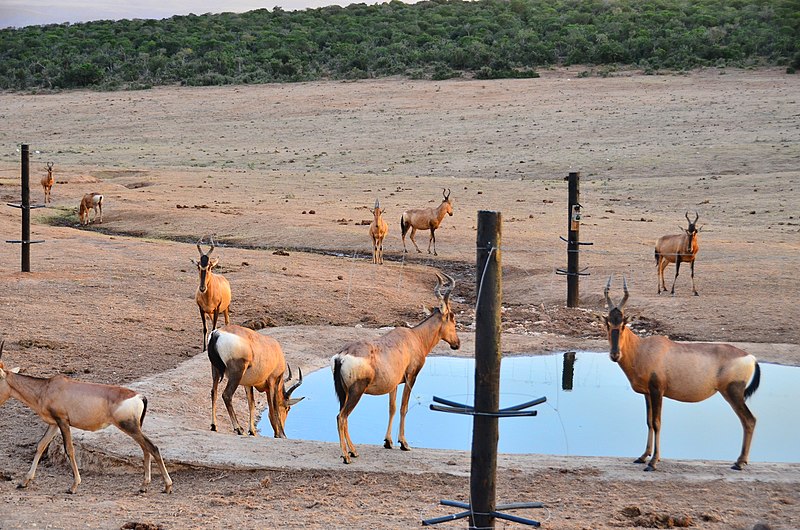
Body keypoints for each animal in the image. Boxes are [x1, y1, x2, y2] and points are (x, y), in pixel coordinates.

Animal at [0, 340, 174, 492]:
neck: (47, 388)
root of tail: (140, 396)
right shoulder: (54, 423)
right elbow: (41, 446)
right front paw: (24, 482)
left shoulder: (63, 422)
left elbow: (69, 449)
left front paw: (73, 486)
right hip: (135, 428)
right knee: (145, 448)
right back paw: (144, 486)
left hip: (129, 426)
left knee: (153, 447)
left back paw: (167, 486)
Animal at [332, 272, 460, 462]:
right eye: (452, 317)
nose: (457, 344)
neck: (414, 337)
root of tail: (341, 356)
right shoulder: (411, 377)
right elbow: (403, 407)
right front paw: (404, 443)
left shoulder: (393, 383)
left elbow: (391, 408)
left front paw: (388, 442)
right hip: (356, 391)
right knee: (342, 417)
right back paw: (346, 456)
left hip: (343, 392)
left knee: (342, 417)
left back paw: (353, 451)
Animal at [604, 276, 760, 470]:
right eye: (607, 323)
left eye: (624, 323)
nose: (615, 355)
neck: (643, 348)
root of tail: (751, 357)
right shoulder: (648, 393)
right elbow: (648, 422)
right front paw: (643, 456)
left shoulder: (658, 391)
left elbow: (657, 423)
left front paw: (653, 462)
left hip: (733, 393)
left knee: (749, 420)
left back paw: (739, 462)